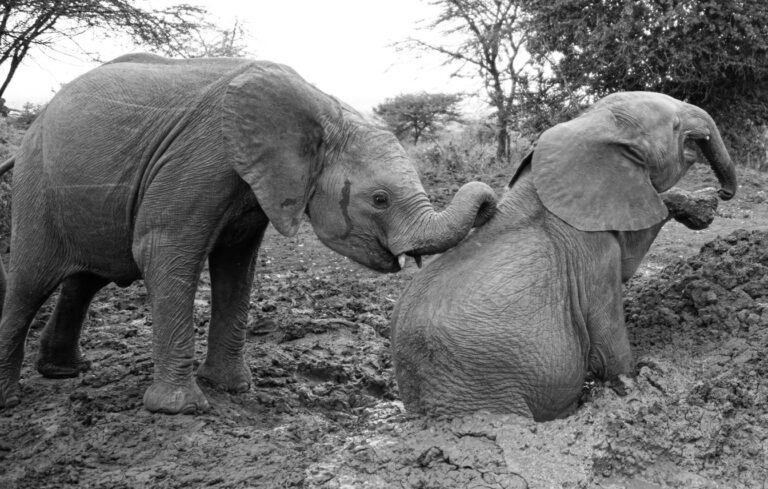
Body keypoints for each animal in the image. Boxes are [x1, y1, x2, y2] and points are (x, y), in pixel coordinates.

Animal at [0, 53, 497, 414]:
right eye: (379, 200)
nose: (491, 205)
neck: (322, 105)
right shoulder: (199, 159)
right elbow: (163, 252)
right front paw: (182, 410)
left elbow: (237, 267)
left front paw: (233, 388)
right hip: (35, 187)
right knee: (30, 283)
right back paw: (11, 399)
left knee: (84, 280)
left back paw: (63, 373)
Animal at [391, 92, 737, 421]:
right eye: (676, 126)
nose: (725, 193)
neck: (586, 125)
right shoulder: (592, 254)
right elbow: (608, 346)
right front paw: (638, 379)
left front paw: (702, 207)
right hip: (484, 391)